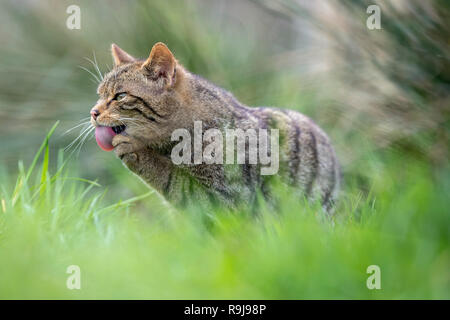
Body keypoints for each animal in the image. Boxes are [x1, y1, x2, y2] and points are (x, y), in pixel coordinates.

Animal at [89, 42, 340, 212]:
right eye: (100, 94)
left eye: (120, 96)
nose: (93, 112)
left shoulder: (228, 200)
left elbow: (173, 179)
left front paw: (138, 153)